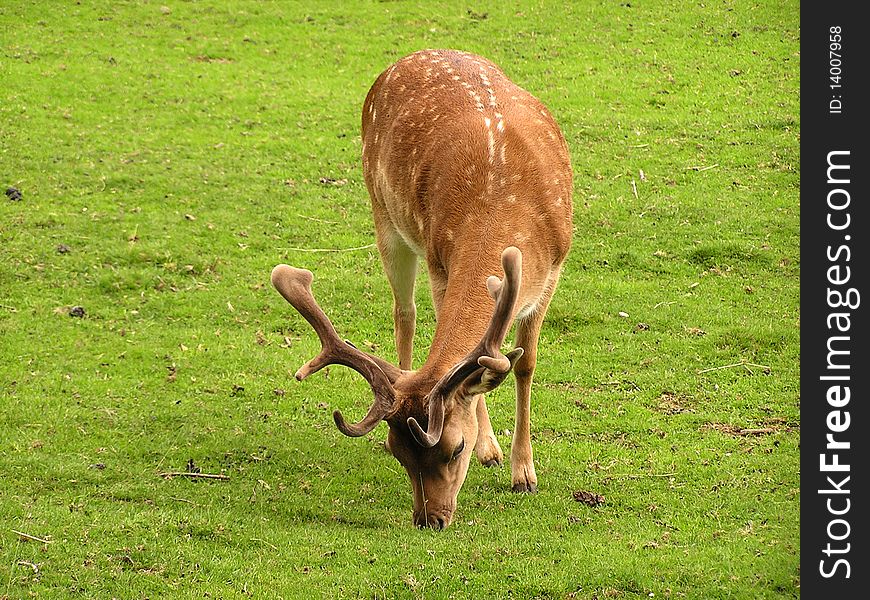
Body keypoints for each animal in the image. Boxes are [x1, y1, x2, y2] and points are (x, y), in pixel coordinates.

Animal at [270, 51, 572, 528]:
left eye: (455, 448)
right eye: (399, 454)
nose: (429, 519)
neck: (502, 207)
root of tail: (410, 57)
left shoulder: (554, 269)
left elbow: (520, 364)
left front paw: (523, 473)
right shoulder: (438, 260)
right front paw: (496, 452)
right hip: (384, 216)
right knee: (405, 316)